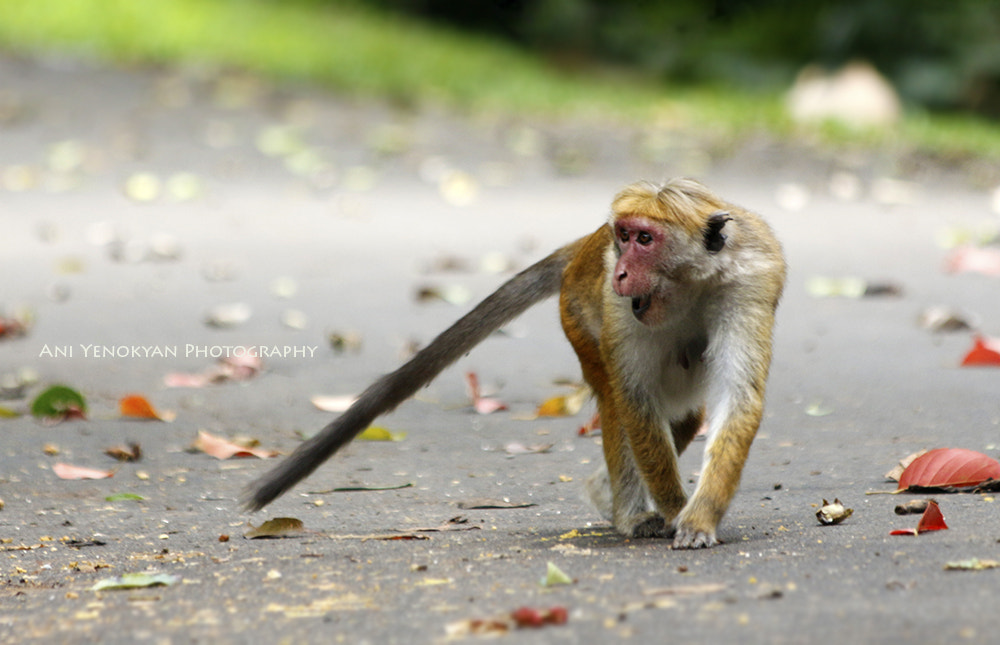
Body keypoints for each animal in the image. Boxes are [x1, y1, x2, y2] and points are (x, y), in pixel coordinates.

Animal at [244, 177, 785, 549]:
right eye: (625, 237)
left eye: (646, 239)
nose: (622, 272)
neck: (689, 283)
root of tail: (585, 244)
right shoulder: (617, 309)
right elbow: (633, 400)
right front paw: (675, 510)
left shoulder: (751, 281)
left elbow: (738, 399)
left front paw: (698, 517)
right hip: (579, 315)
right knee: (621, 399)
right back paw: (626, 510)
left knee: (685, 411)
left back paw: (605, 492)